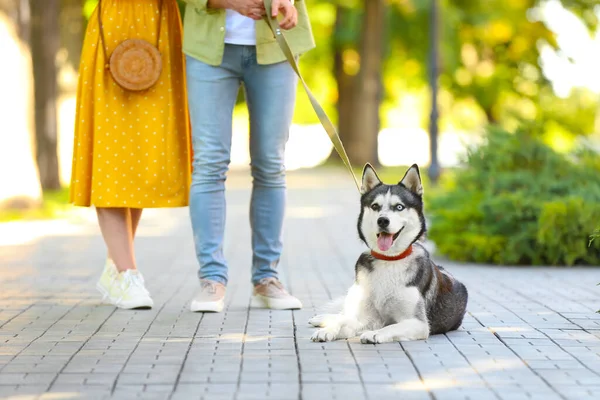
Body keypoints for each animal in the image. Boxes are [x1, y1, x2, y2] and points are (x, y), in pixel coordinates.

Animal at [310, 164, 468, 342]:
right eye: (375, 206)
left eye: (399, 207)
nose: (383, 220)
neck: (389, 260)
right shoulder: (368, 317)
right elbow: (346, 322)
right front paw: (329, 330)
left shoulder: (418, 323)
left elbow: (391, 326)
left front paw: (374, 334)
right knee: (344, 314)